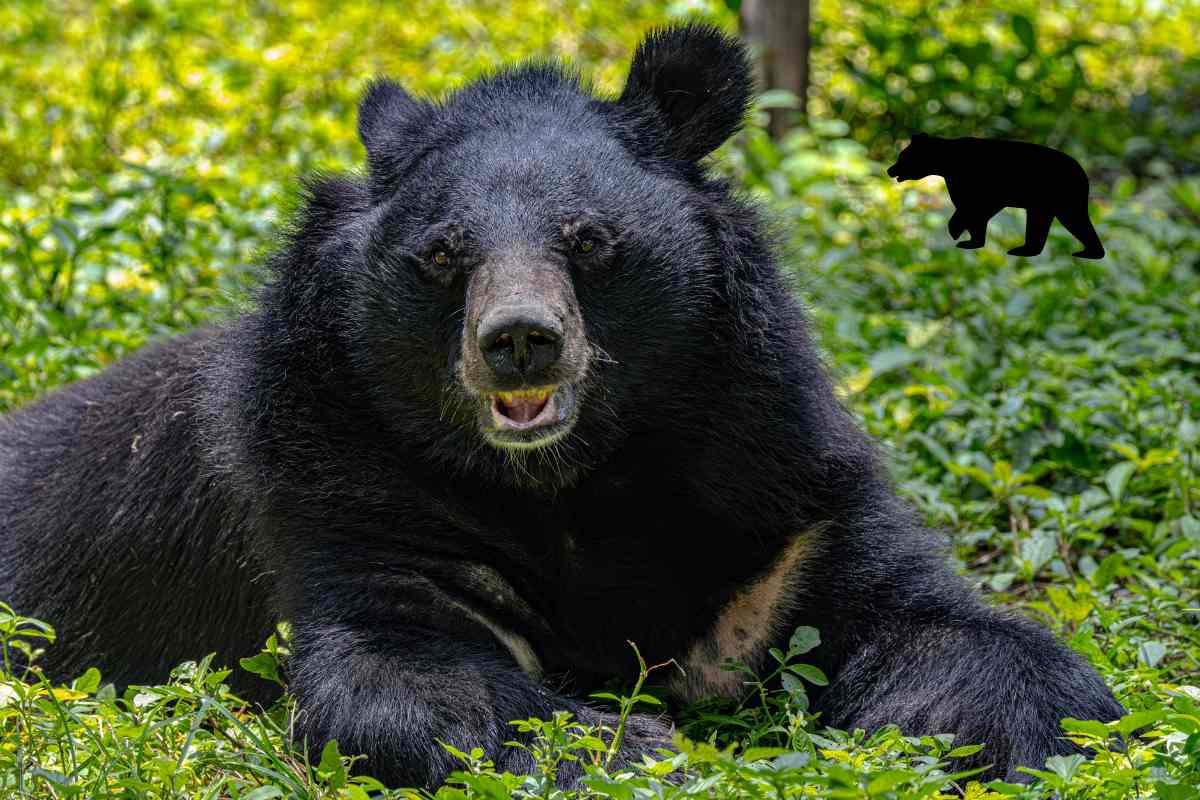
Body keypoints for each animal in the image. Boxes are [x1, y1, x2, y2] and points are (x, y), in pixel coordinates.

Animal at [887, 133, 1106, 259]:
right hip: (1046, 201)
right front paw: (971, 241)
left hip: (1061, 195)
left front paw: (956, 231)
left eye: (901, 157)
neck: (948, 164)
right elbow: (974, 211)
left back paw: (1090, 253)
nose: (890, 170)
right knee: (1042, 222)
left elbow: (975, 207)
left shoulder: (981, 182)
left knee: (1074, 221)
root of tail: (1084, 173)